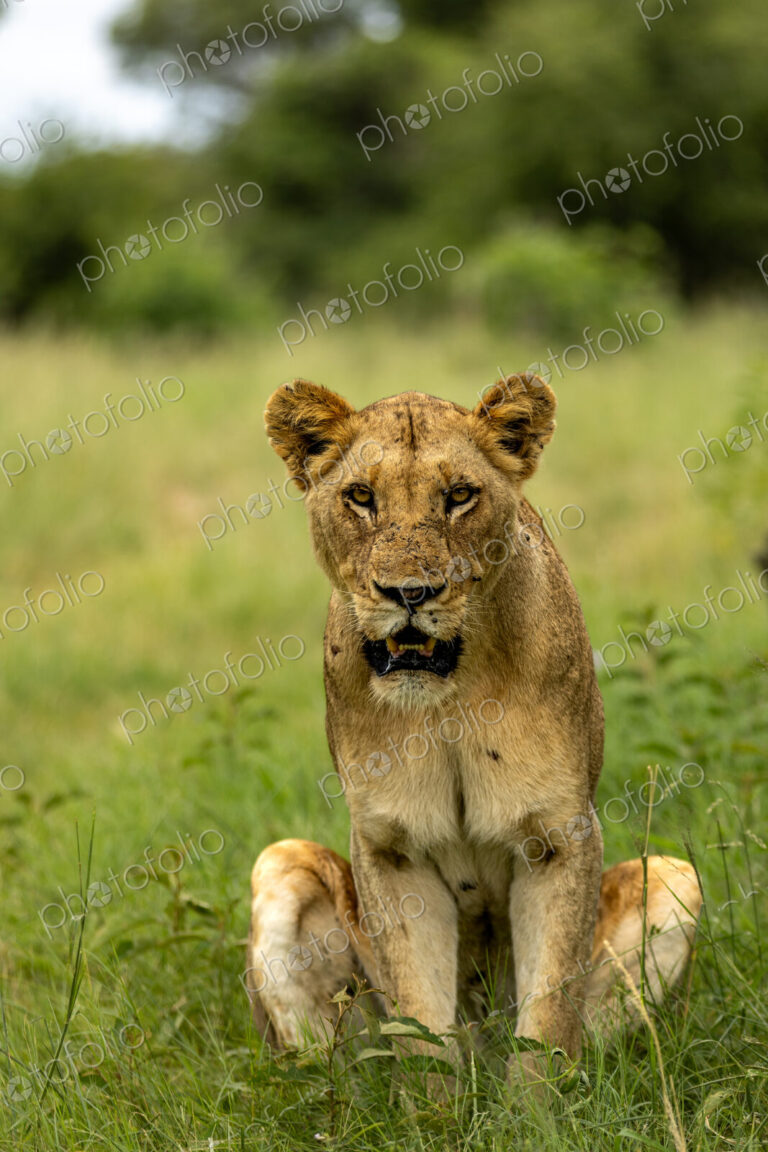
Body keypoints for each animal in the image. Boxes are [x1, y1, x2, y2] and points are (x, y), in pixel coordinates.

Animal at [246, 374, 702, 1083]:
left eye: (459, 496)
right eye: (361, 497)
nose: (409, 593)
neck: (448, 700)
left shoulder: (559, 834)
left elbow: (548, 1019)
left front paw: (536, 1105)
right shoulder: (389, 845)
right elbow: (420, 1023)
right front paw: (439, 1107)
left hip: (677, 877)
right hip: (282, 864)